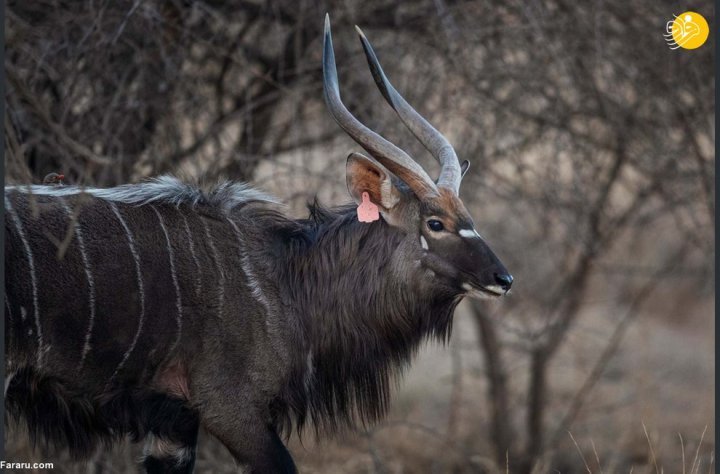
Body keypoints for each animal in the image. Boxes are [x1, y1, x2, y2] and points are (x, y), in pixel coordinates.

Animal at [5, 16, 512, 472]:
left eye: (467, 217)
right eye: (435, 223)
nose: (503, 279)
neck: (286, 282)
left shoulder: (171, 422)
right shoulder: (231, 411)